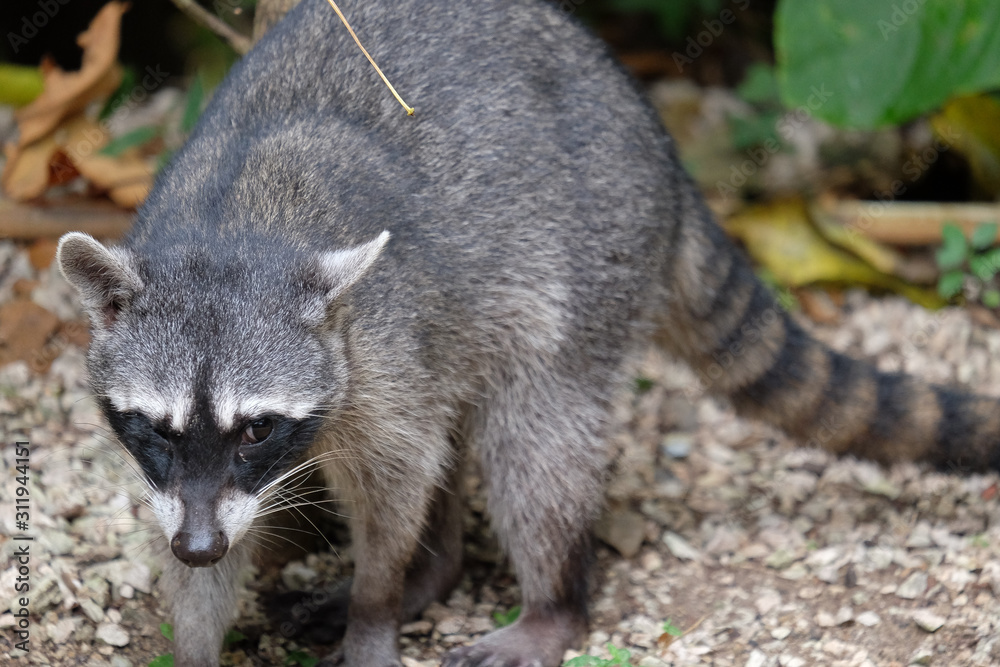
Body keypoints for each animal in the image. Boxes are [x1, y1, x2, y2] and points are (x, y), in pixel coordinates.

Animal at [56, 0, 1000, 665]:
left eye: (257, 429)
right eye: (153, 426)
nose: (201, 544)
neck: (232, 232)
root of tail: (658, 146)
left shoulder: (380, 343)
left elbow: (399, 477)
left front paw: (375, 607)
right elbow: (202, 529)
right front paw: (197, 629)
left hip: (589, 264)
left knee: (534, 445)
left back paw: (545, 603)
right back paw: (436, 570)